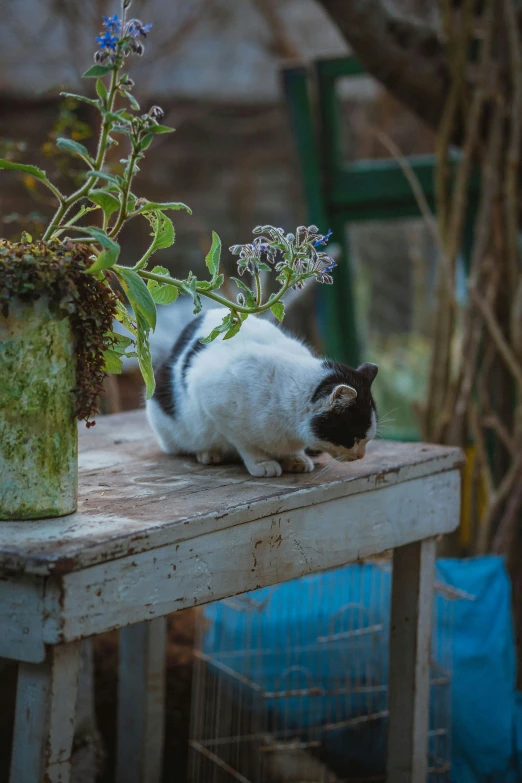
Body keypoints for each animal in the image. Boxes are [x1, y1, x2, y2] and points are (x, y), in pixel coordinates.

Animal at [144, 308, 376, 478]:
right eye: (354, 438)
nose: (361, 456)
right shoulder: (214, 402)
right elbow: (246, 444)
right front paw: (262, 462)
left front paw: (295, 458)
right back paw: (208, 453)